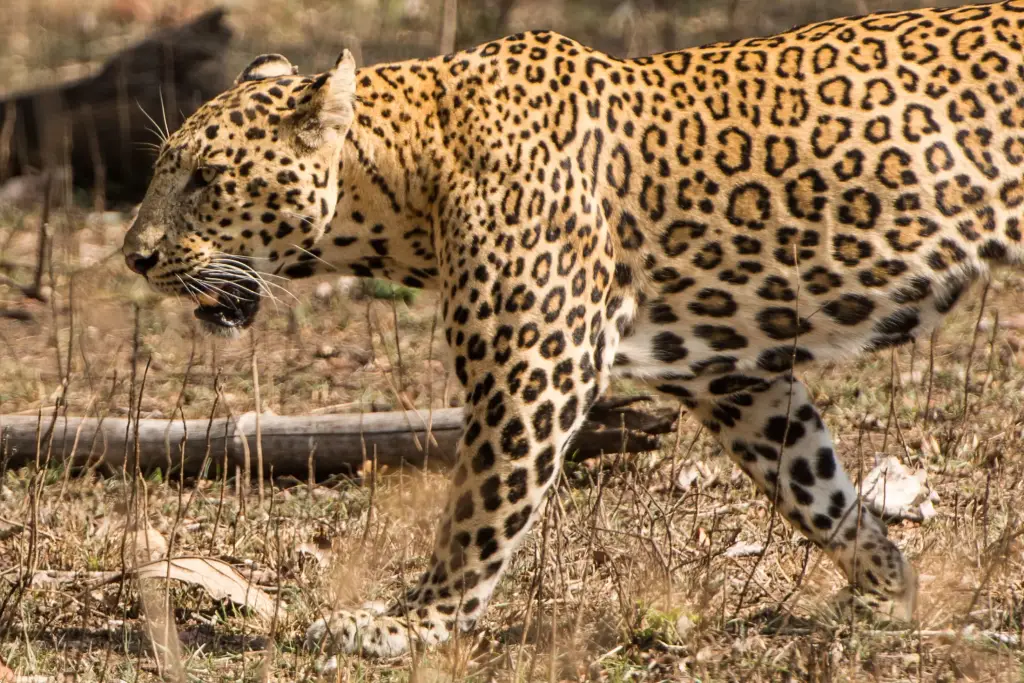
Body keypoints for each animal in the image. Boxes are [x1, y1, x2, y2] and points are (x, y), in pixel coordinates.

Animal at [122, 0, 1024, 659]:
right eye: (167, 167)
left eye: (206, 179)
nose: (134, 256)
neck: (407, 178)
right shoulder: (734, 379)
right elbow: (817, 488)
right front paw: (890, 589)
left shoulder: (534, 369)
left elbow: (479, 514)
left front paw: (410, 624)